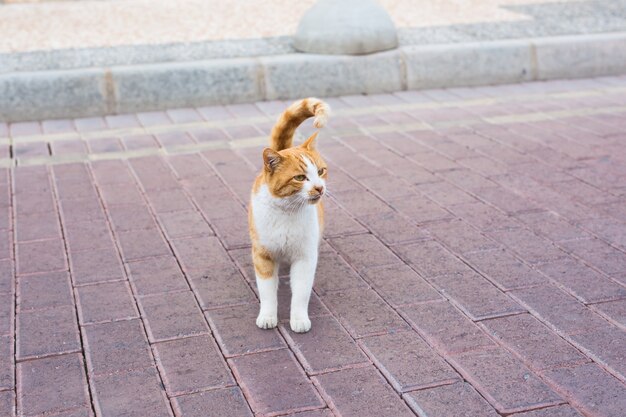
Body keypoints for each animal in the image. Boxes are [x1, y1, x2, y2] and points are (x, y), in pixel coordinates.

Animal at [246, 96, 330, 332]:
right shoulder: (262, 255)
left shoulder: (305, 257)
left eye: (320, 171)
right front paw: (267, 316)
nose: (320, 188)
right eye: (300, 178)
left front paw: (299, 319)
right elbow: (267, 292)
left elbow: (301, 293)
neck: (287, 211)